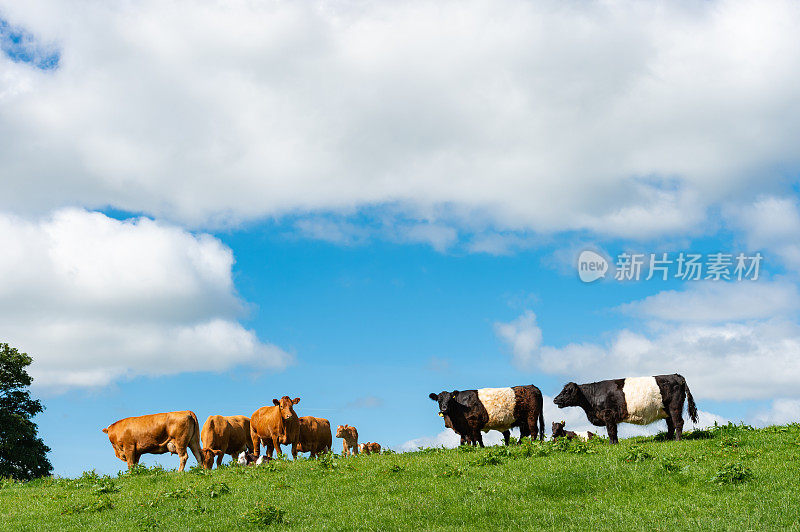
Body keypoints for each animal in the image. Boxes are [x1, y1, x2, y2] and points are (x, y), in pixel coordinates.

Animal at [552, 374, 696, 444]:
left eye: (567, 391)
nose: (555, 399)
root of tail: (676, 375)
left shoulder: (608, 414)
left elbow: (611, 431)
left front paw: (611, 444)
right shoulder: (612, 418)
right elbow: (615, 431)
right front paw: (616, 443)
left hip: (674, 407)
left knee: (678, 422)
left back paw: (677, 440)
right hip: (666, 410)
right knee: (671, 424)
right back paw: (668, 439)